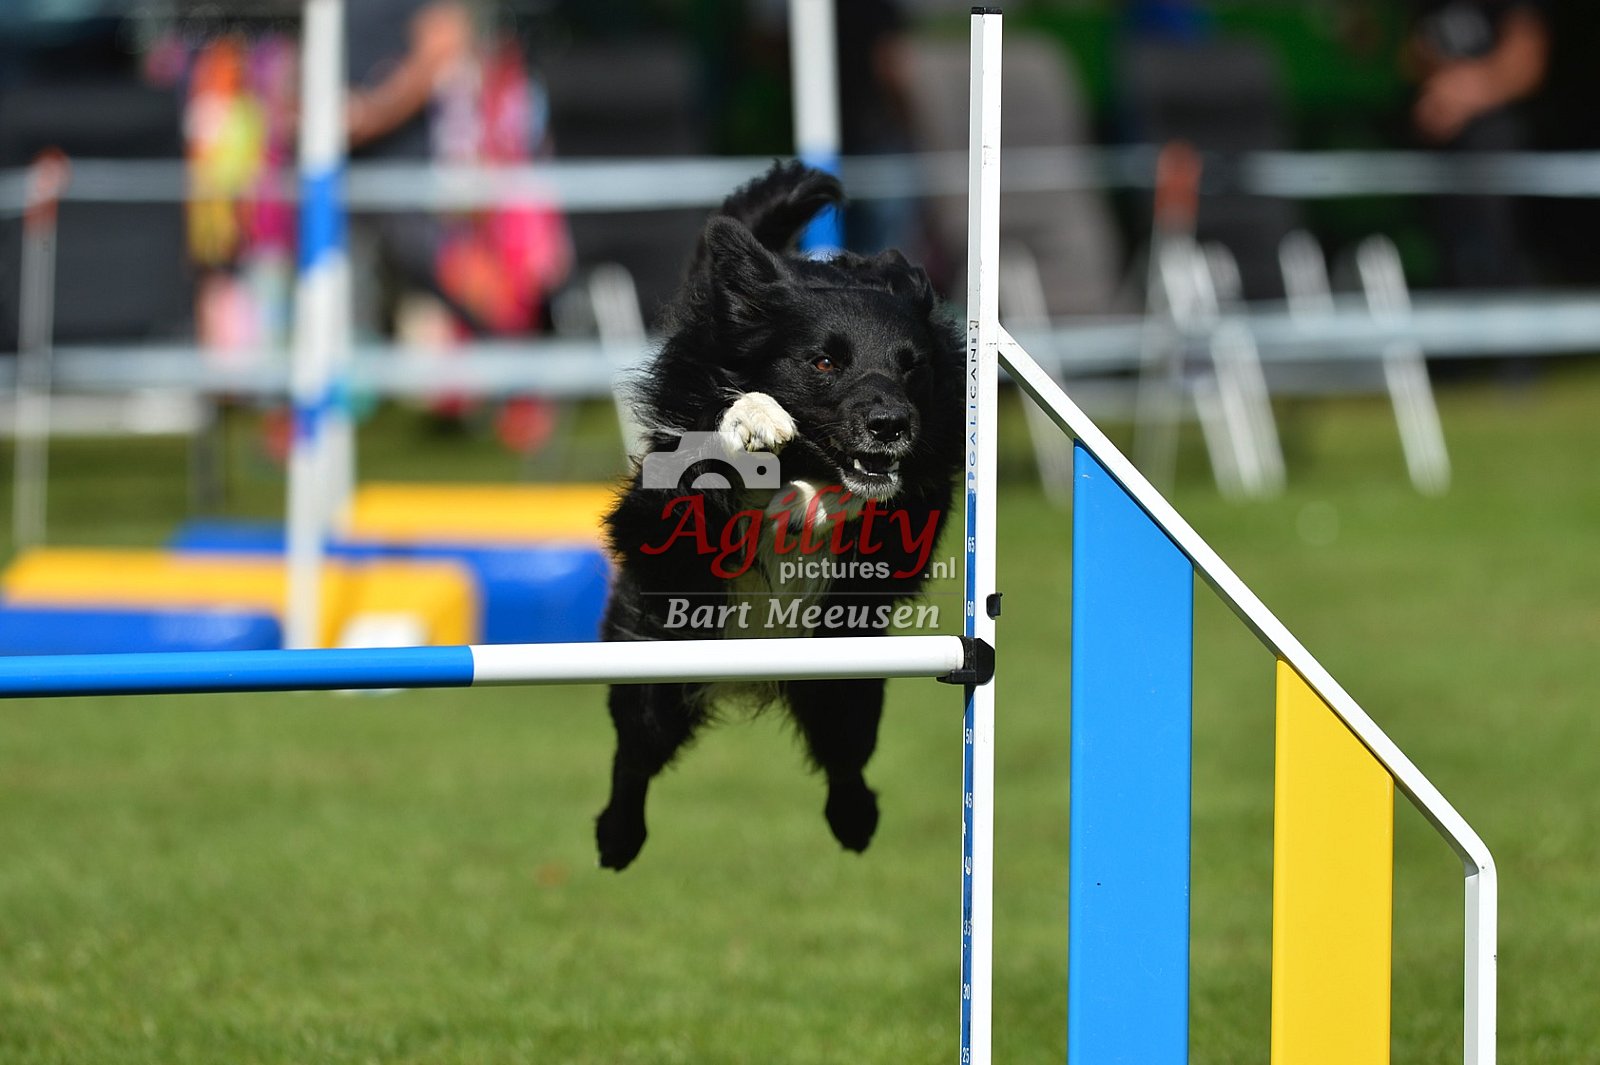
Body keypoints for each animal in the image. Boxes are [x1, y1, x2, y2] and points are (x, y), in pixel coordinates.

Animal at [596, 162, 964, 870]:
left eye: (913, 367)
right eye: (824, 361)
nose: (891, 425)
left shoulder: (920, 498)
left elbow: (884, 500)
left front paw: (815, 500)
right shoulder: (652, 518)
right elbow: (707, 459)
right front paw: (753, 416)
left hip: (847, 681)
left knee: (846, 760)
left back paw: (855, 820)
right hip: (652, 664)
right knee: (635, 751)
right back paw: (617, 837)